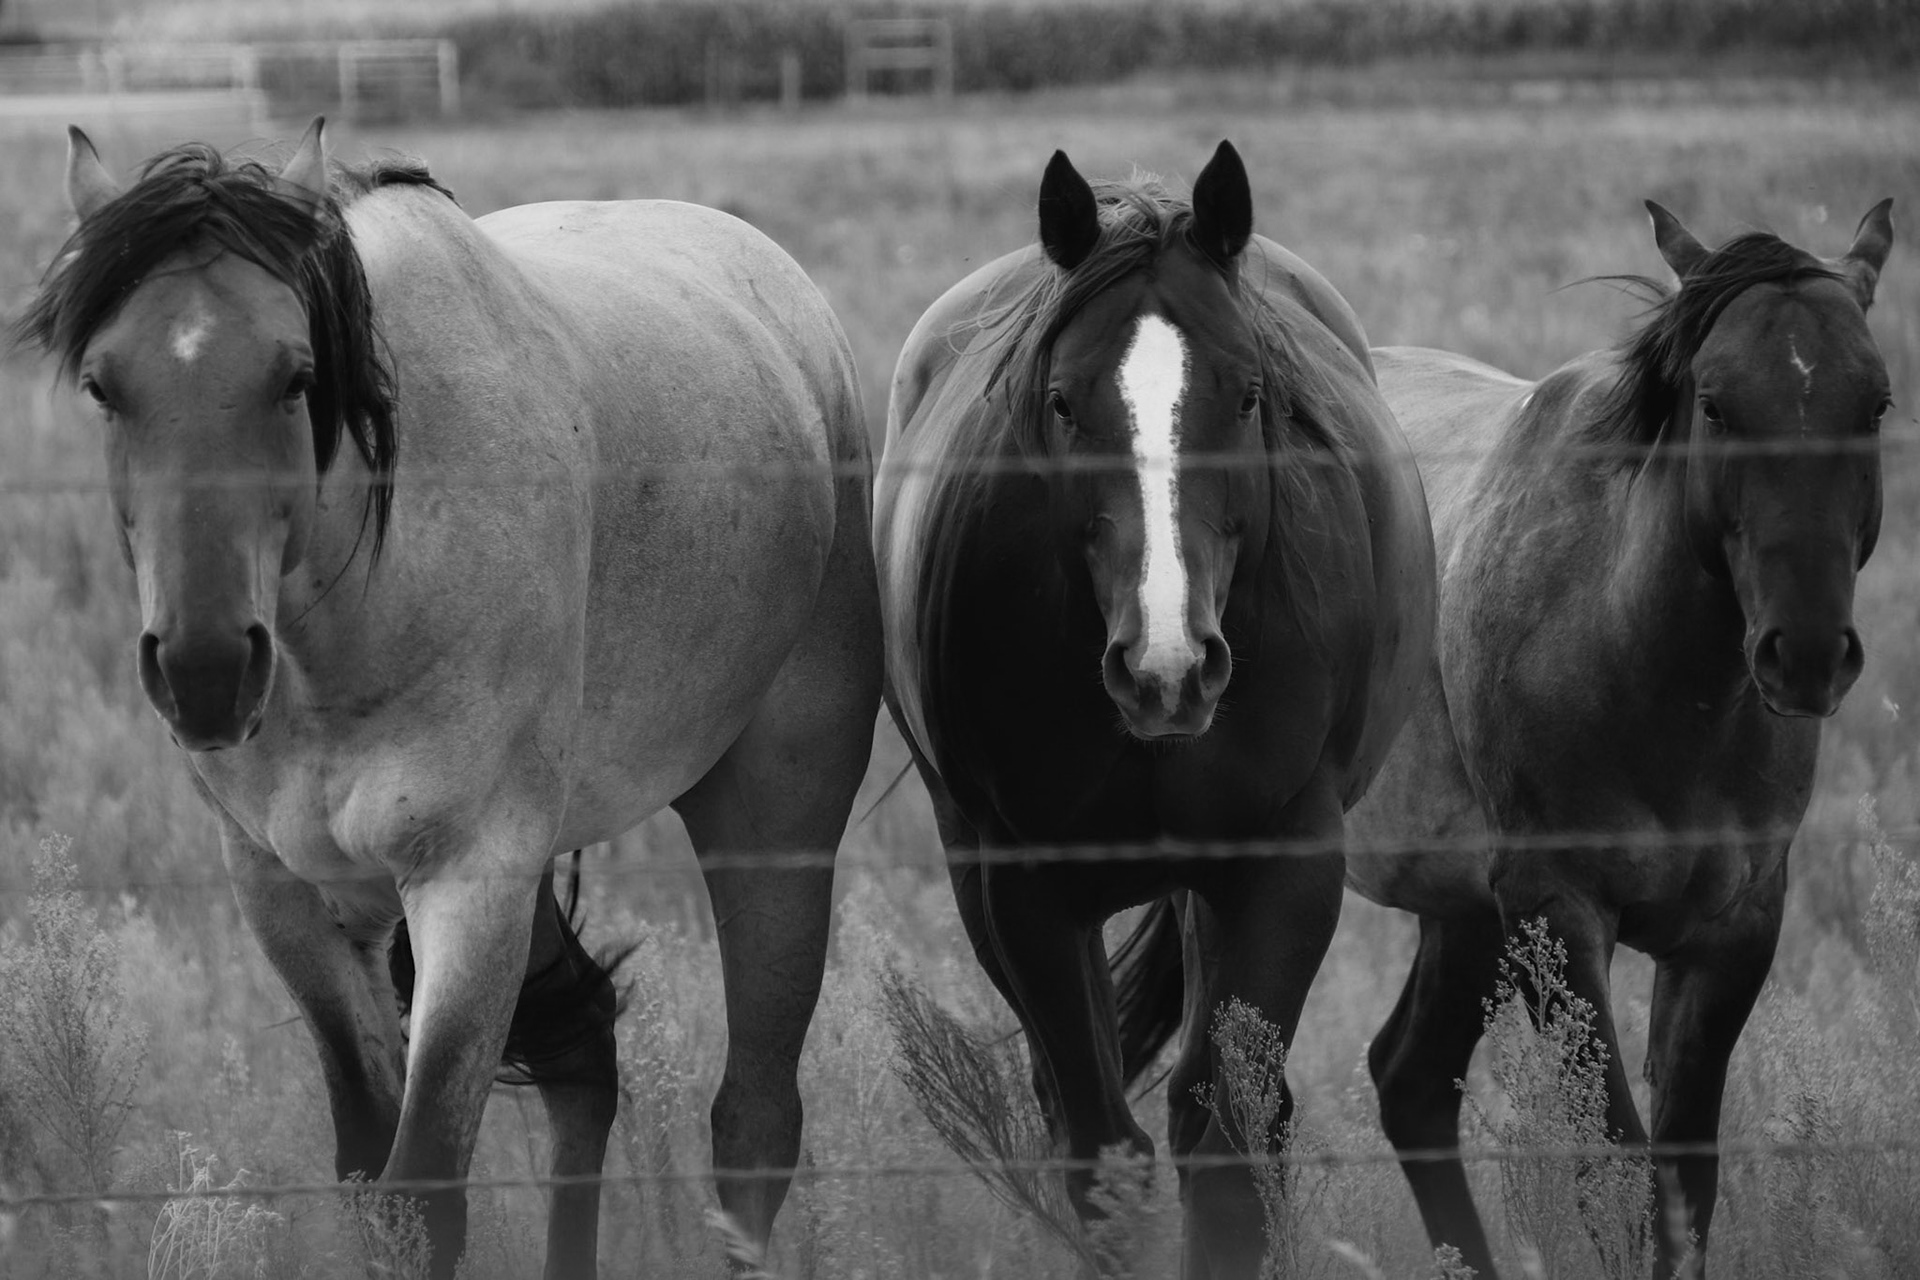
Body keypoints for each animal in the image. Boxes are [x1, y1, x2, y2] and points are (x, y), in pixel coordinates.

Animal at [16, 119, 883, 1279]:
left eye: (296, 377)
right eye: (106, 387)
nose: (203, 668)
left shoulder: (472, 877)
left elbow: (424, 1193)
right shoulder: (287, 896)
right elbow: (370, 1179)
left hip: (772, 818)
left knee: (752, 1124)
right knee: (587, 1059)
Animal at [875, 140, 1436, 1277]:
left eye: (1251, 394)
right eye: (1060, 403)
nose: (1167, 666)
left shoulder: (1284, 866)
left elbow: (1223, 1142)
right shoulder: (1025, 890)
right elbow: (1103, 1152)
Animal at [1337, 199, 1896, 1278]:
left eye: (1879, 403)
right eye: (1715, 405)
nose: (1806, 653)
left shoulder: (1732, 933)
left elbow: (1684, 1190)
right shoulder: (1559, 914)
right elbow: (1621, 1181)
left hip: (1462, 913)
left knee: (1409, 1079)